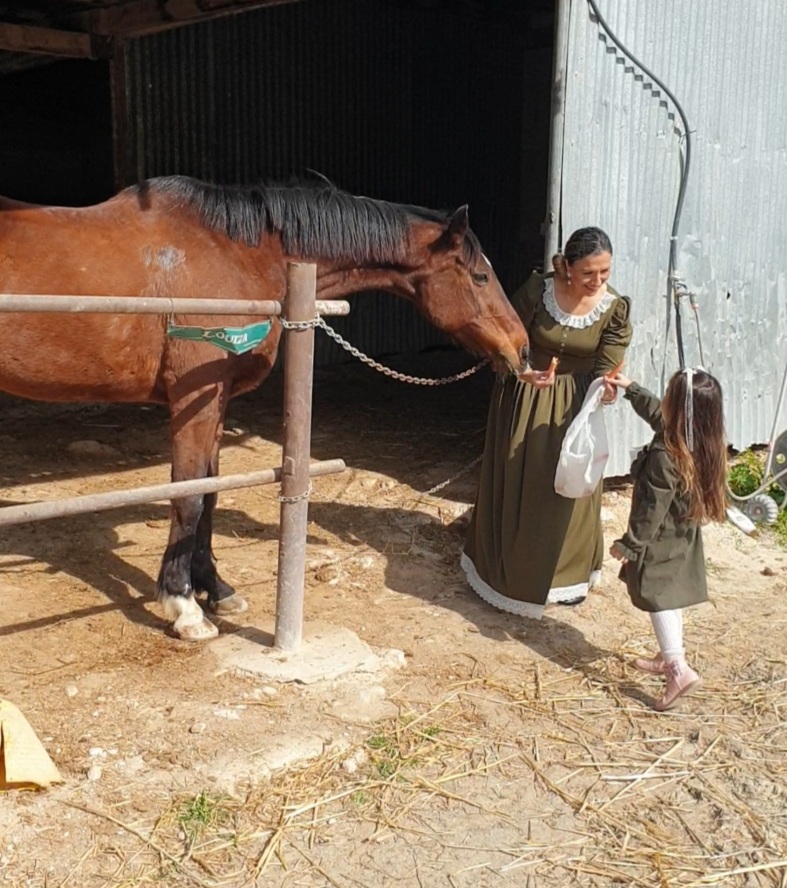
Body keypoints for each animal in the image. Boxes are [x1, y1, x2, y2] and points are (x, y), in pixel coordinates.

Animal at [0, 176, 529, 640]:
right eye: (480, 275)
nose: (521, 350)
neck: (236, 254)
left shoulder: (215, 405)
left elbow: (210, 494)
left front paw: (216, 590)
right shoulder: (193, 402)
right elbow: (189, 498)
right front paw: (184, 607)